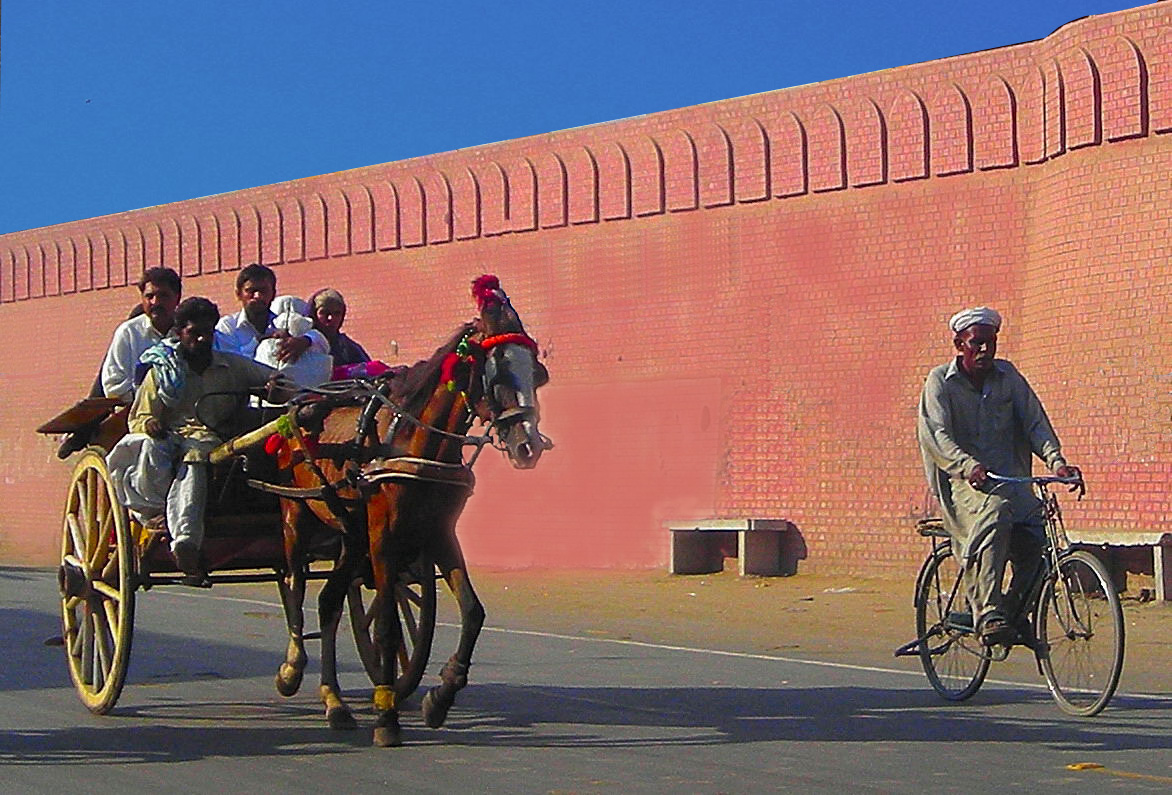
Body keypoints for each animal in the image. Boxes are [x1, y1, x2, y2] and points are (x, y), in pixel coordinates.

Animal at [269, 275, 553, 745]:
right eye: (496, 370)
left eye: (537, 371)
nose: (528, 446)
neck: (412, 440)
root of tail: (298, 402)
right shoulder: (384, 535)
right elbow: (385, 625)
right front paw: (387, 716)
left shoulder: (437, 531)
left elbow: (473, 612)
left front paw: (441, 695)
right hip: (297, 516)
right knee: (294, 586)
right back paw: (292, 669)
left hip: (351, 534)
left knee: (329, 603)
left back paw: (335, 701)